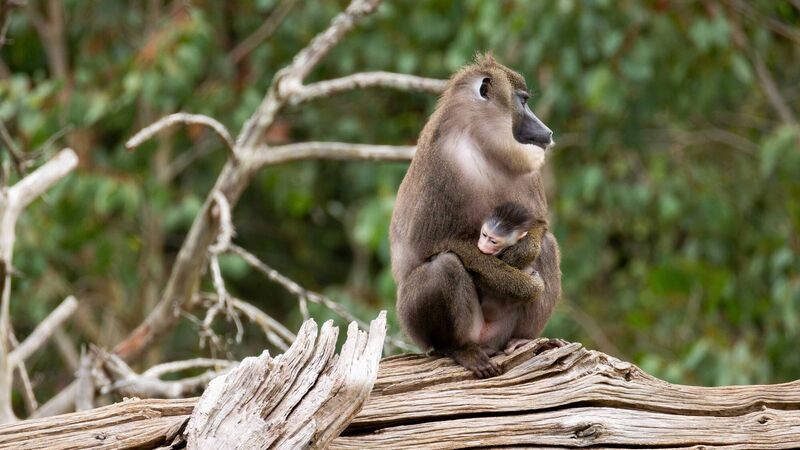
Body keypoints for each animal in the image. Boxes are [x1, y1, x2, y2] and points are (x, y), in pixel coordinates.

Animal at [391, 54, 562, 379]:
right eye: (522, 101)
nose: (546, 131)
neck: (482, 145)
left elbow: (540, 226)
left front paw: (521, 252)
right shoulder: (442, 164)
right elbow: (438, 247)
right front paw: (527, 284)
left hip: (502, 331)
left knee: (548, 245)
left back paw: (521, 340)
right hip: (417, 321)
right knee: (444, 266)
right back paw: (458, 348)